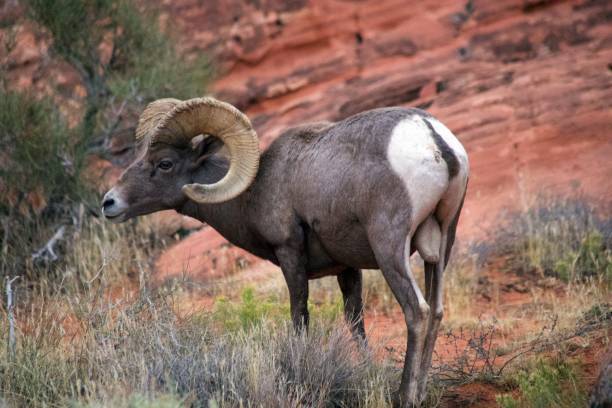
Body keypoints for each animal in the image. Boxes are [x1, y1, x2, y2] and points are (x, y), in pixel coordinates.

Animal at [104, 97, 468, 406]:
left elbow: (299, 317)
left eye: (164, 163)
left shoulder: (290, 254)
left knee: (417, 310)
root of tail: (433, 138)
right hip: (443, 244)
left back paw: (405, 397)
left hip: (389, 245)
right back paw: (421, 392)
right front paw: (368, 371)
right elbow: (356, 324)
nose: (109, 203)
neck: (253, 192)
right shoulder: (347, 269)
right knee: (436, 310)